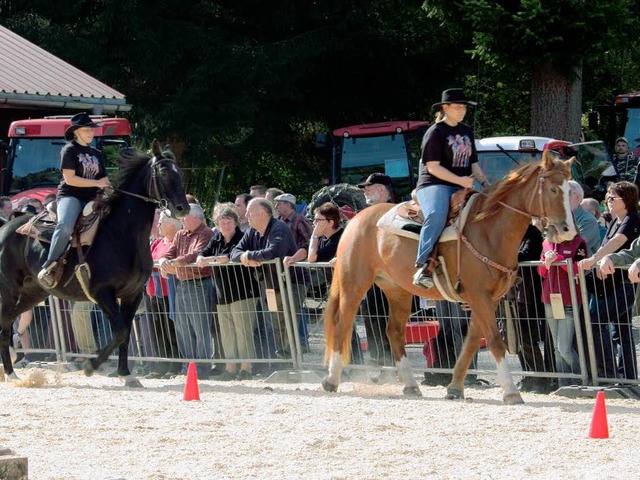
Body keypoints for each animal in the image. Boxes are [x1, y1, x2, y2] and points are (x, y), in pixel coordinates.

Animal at [0, 140, 189, 386]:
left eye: (180, 173)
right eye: (164, 172)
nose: (183, 208)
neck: (121, 234)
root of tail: (6, 227)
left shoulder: (133, 294)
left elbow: (125, 334)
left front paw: (125, 374)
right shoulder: (102, 292)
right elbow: (120, 332)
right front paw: (91, 366)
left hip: (34, 293)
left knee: (9, 321)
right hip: (9, 290)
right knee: (4, 324)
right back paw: (10, 372)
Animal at [322, 152, 576, 404]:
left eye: (570, 189)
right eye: (553, 189)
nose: (568, 231)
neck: (488, 230)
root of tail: (356, 218)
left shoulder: (489, 299)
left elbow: (472, 341)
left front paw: (455, 387)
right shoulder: (479, 296)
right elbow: (494, 340)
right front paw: (511, 391)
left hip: (397, 290)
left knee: (394, 331)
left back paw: (410, 385)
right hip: (354, 282)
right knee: (342, 324)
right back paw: (331, 380)